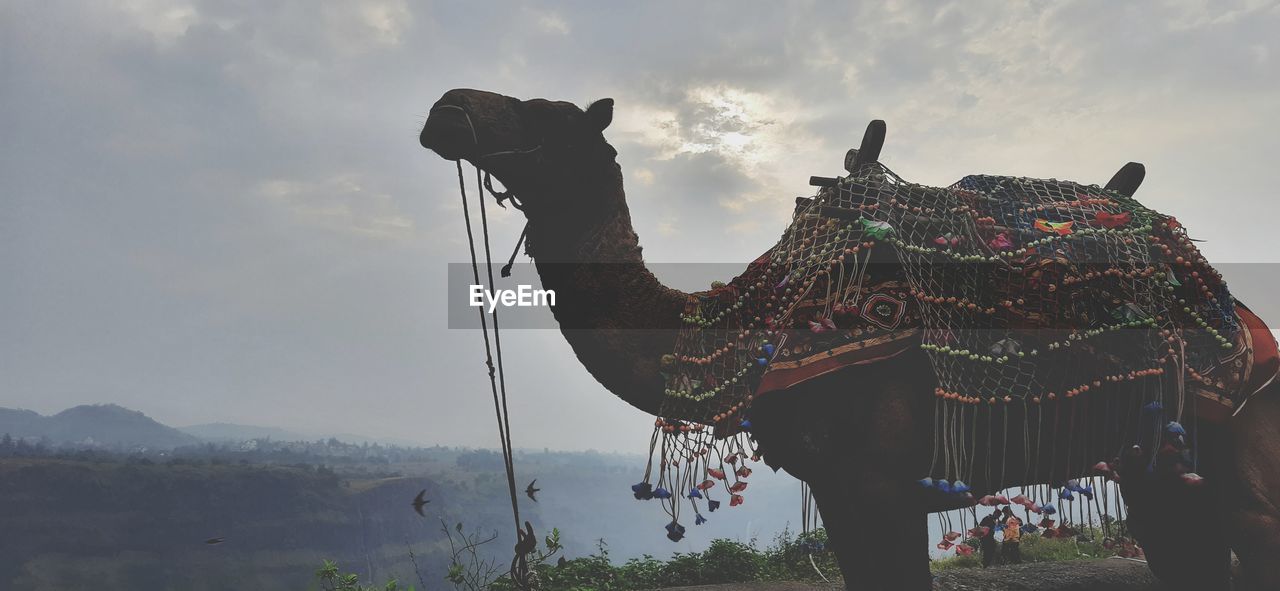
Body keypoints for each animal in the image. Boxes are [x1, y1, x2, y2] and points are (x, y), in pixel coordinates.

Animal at [419, 87, 1280, 591]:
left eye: (545, 114)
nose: (446, 108)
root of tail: (1244, 320)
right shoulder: (838, 487)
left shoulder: (879, 479)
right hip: (1158, 454)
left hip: (1223, 427)